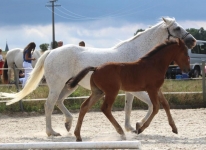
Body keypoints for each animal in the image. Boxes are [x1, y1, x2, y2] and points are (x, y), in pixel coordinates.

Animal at [2, 17, 196, 136]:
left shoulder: (131, 90)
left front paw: (130, 127)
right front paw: (138, 125)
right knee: (49, 105)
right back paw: (52, 132)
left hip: (68, 86)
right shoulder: (141, 90)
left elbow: (129, 108)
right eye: (177, 28)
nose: (193, 41)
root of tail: (51, 52)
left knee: (59, 102)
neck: (142, 57)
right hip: (57, 85)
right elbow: (150, 105)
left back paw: (68, 124)